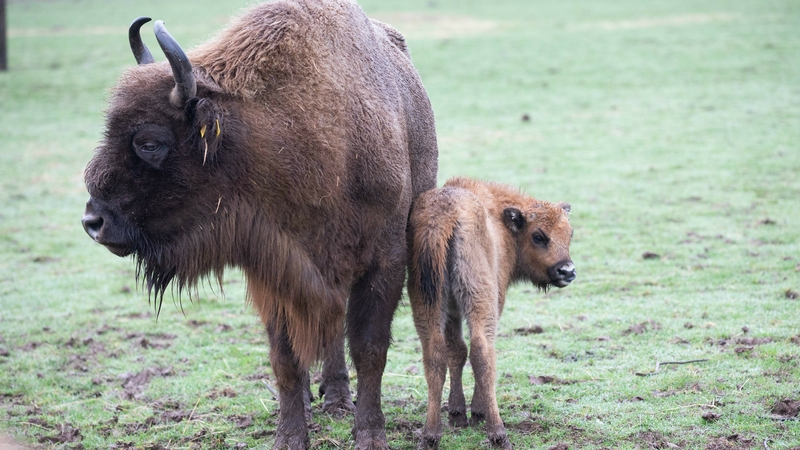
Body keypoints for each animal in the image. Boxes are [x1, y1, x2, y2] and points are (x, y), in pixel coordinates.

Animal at [79, 0, 438, 446]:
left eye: (149, 142)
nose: (93, 221)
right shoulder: (276, 267)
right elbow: (285, 356)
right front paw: (290, 435)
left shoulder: (384, 261)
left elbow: (369, 348)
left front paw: (371, 434)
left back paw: (338, 399)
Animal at [410, 178, 572, 448]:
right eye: (539, 236)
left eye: (570, 233)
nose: (567, 271)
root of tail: (445, 215)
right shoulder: (495, 299)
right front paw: (475, 414)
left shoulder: (452, 310)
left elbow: (456, 351)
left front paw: (457, 414)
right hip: (480, 300)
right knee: (482, 352)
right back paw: (498, 433)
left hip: (426, 302)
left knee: (434, 355)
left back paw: (431, 435)